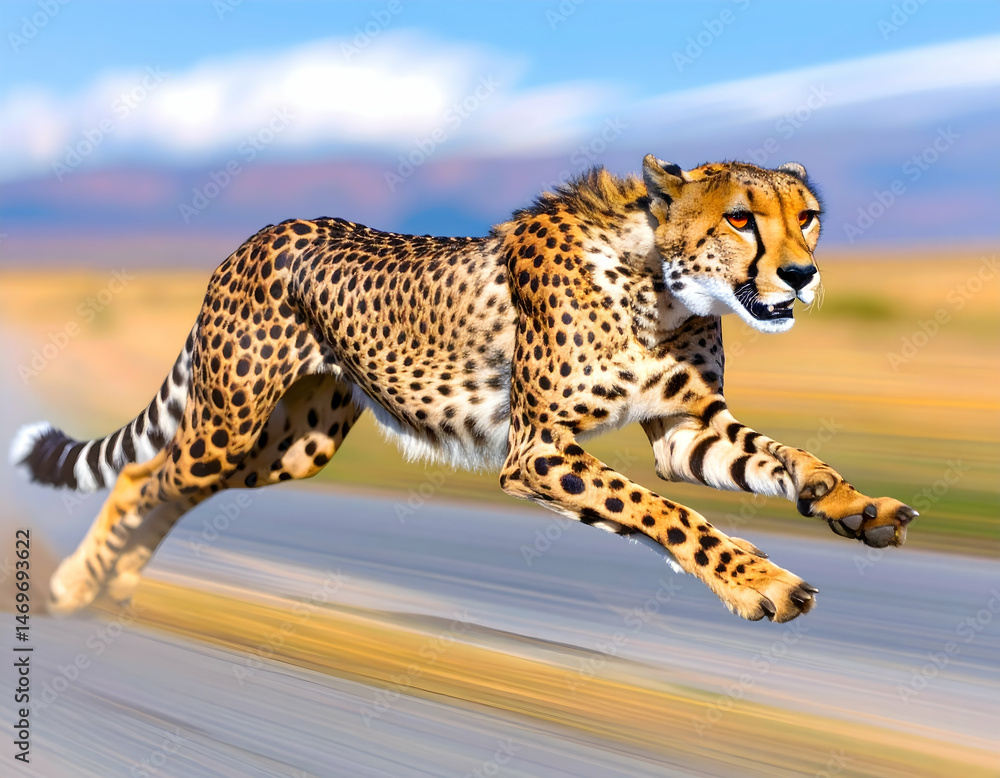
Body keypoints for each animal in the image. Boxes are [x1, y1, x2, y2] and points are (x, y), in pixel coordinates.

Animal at [10, 154, 918, 622]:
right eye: (740, 217)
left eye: (808, 217)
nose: (801, 275)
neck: (660, 282)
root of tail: (262, 231)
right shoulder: (538, 451)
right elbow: (666, 515)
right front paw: (759, 581)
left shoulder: (686, 429)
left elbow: (778, 457)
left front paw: (852, 505)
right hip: (231, 422)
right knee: (143, 475)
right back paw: (78, 584)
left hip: (290, 444)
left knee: (170, 487)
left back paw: (116, 584)